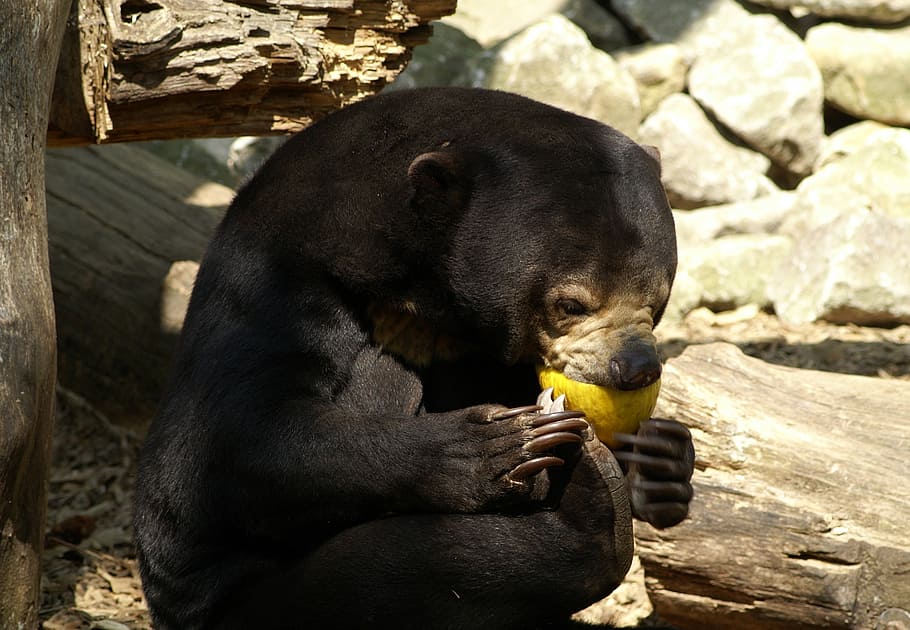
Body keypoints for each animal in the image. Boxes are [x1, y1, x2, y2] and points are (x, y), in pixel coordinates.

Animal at [134, 87, 692, 630]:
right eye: (571, 304)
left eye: (658, 301)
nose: (635, 369)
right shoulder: (281, 278)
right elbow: (236, 439)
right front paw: (498, 446)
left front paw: (662, 458)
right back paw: (590, 504)